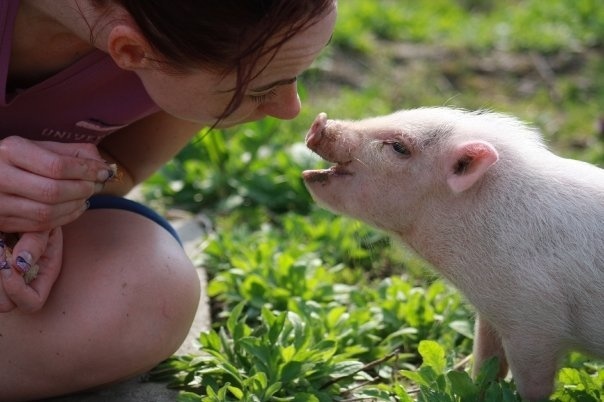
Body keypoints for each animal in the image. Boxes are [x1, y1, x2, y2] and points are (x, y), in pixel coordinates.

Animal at [302, 107, 604, 402]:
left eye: (399, 147)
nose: (319, 121)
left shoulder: (535, 322)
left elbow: (533, 387)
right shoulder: (491, 314)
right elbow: (486, 361)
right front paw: (478, 387)